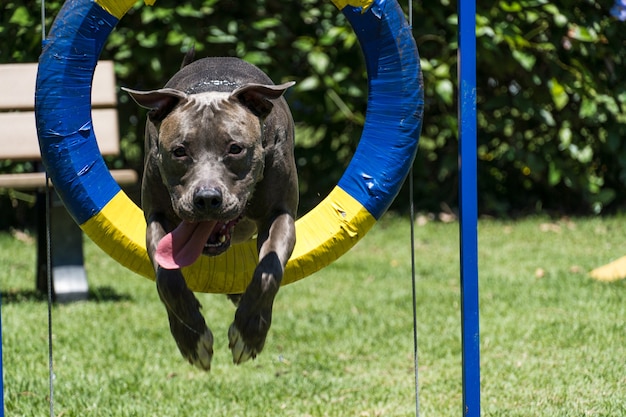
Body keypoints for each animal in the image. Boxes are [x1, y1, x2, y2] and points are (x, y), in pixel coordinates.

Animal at [124, 52, 298, 370]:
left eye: (235, 148)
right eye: (179, 151)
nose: (206, 199)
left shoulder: (280, 214)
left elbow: (268, 272)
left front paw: (248, 334)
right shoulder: (157, 216)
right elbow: (167, 278)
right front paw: (192, 338)